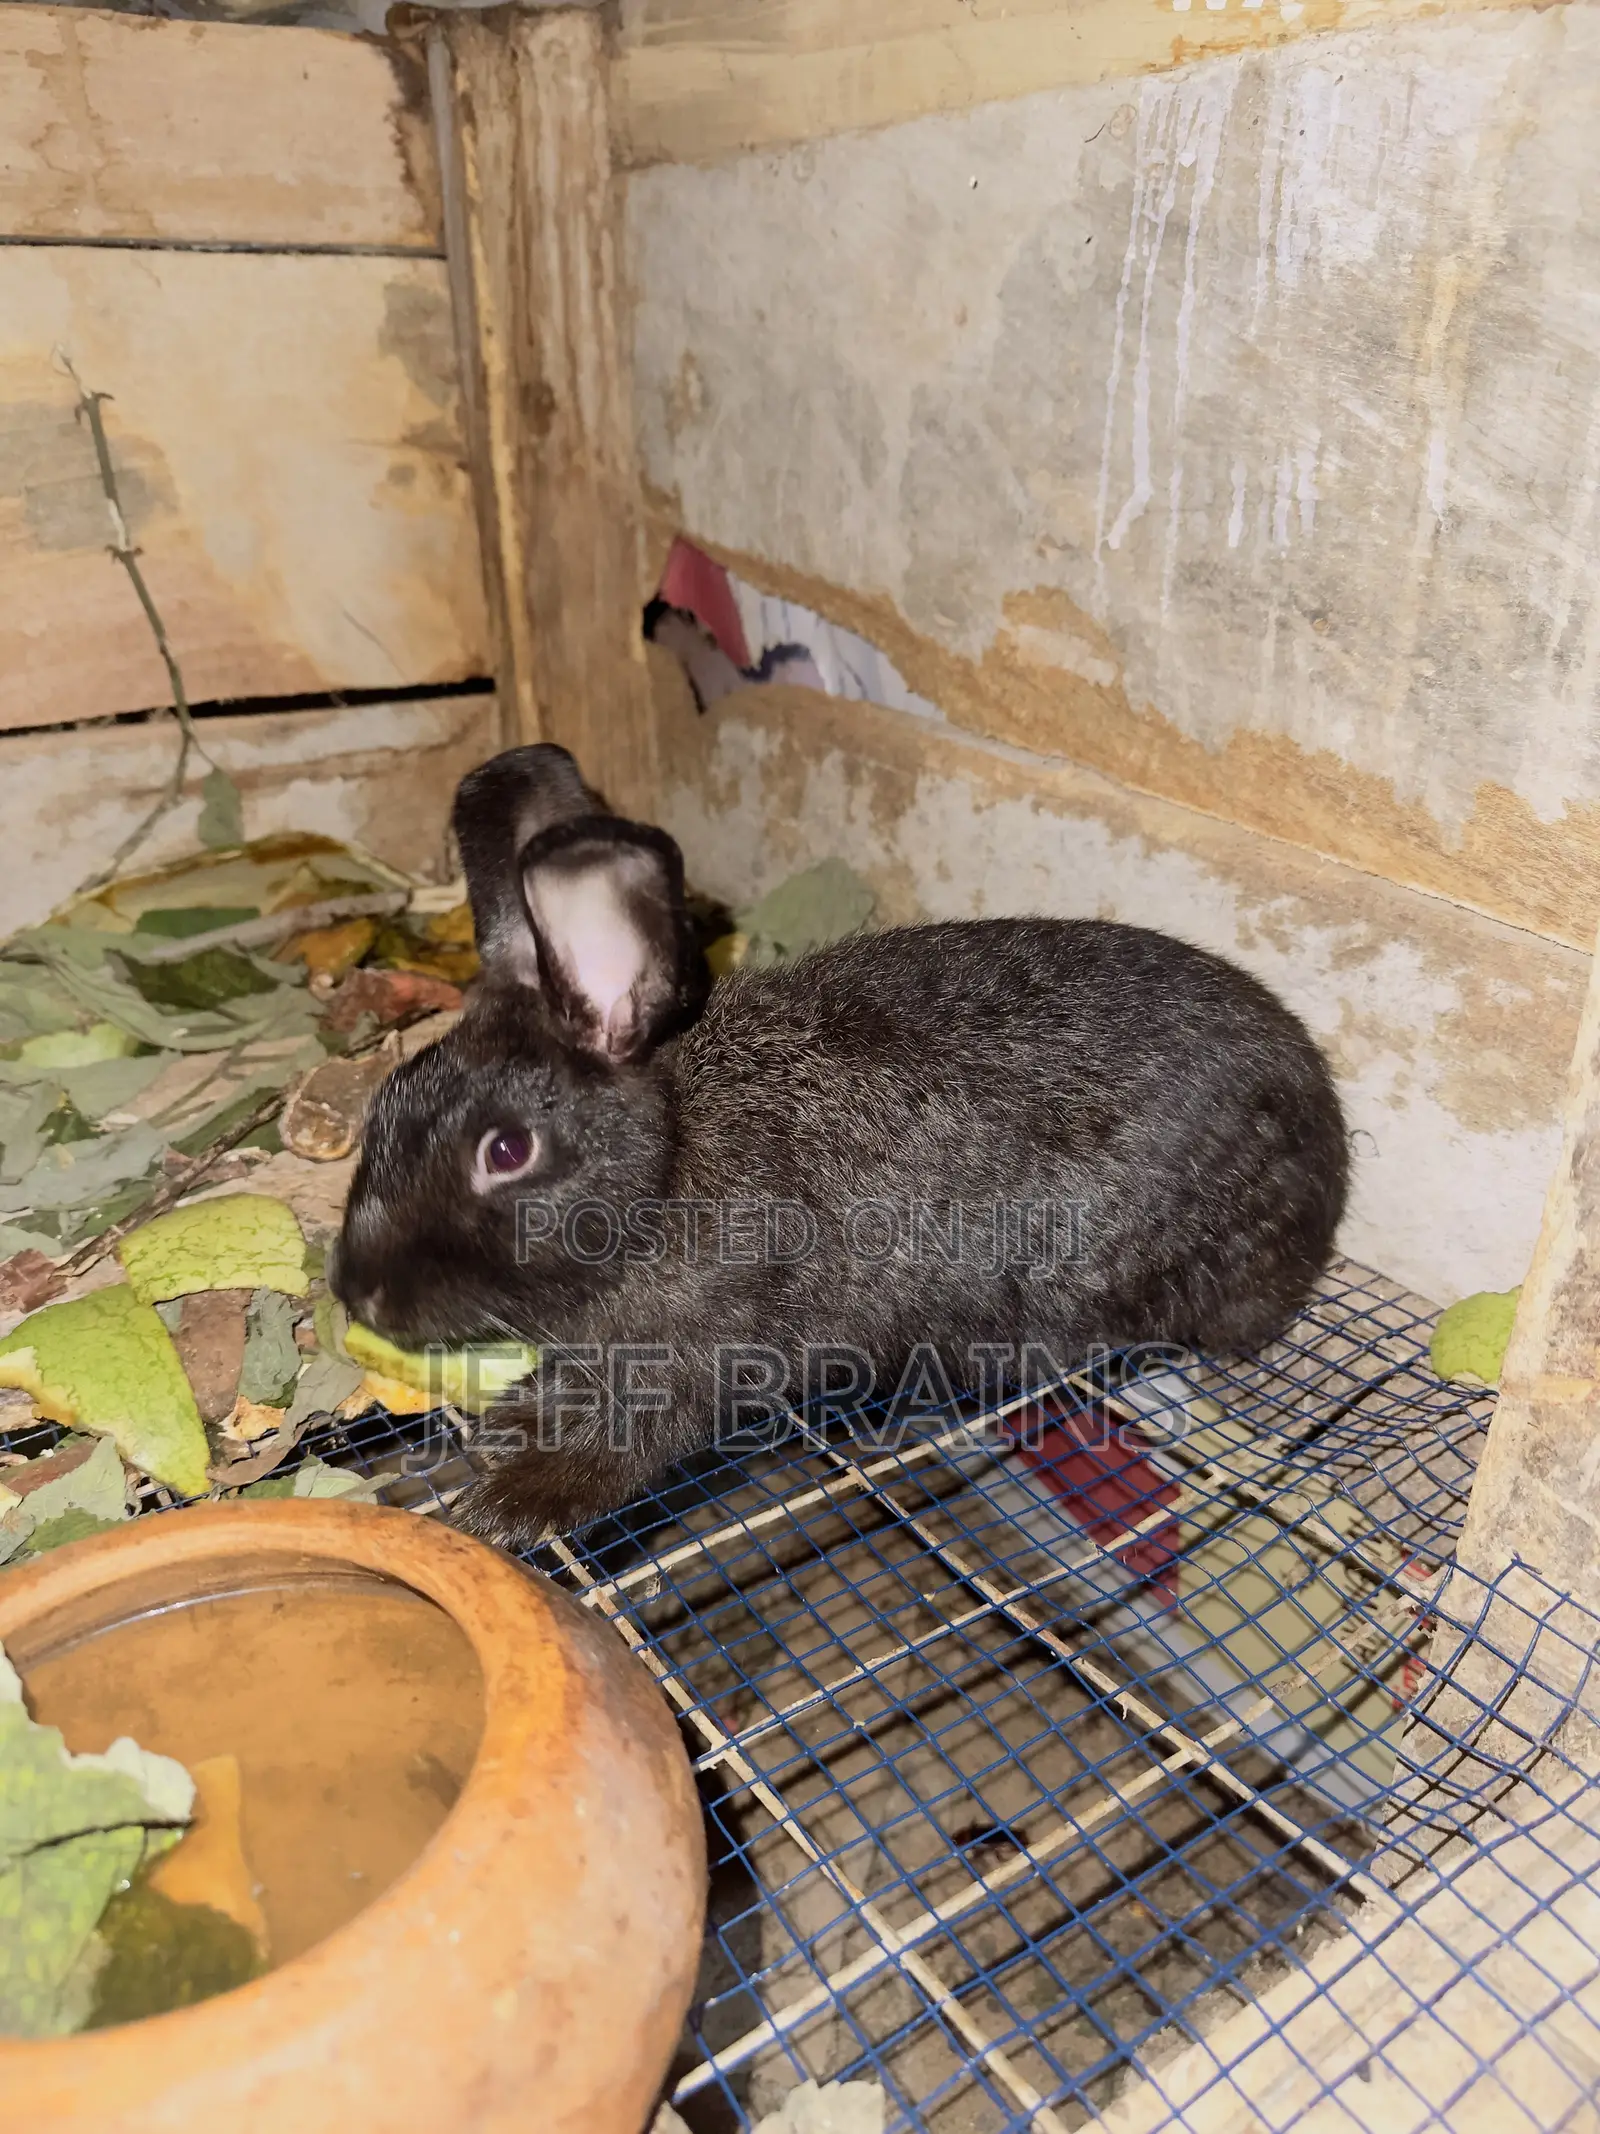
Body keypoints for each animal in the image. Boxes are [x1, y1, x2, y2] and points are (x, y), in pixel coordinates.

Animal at [333, 743, 1349, 1548]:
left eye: (506, 1152)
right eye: (386, 1103)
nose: (357, 1291)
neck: (665, 1171)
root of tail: (1328, 1134)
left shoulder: (698, 1354)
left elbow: (628, 1439)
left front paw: (511, 1501)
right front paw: (511, 1425)